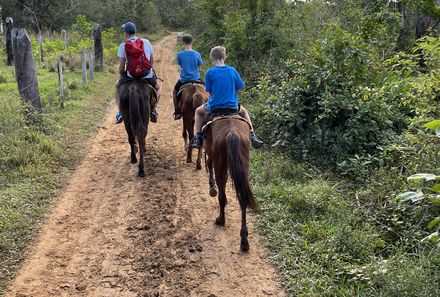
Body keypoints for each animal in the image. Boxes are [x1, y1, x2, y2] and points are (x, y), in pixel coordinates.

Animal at [204, 115, 258, 250]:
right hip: (244, 164)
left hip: (220, 163)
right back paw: (244, 240)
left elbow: (208, 163)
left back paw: (220, 219)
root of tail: (232, 133)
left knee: (222, 196)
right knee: (243, 199)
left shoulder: (211, 154)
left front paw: (212, 188)